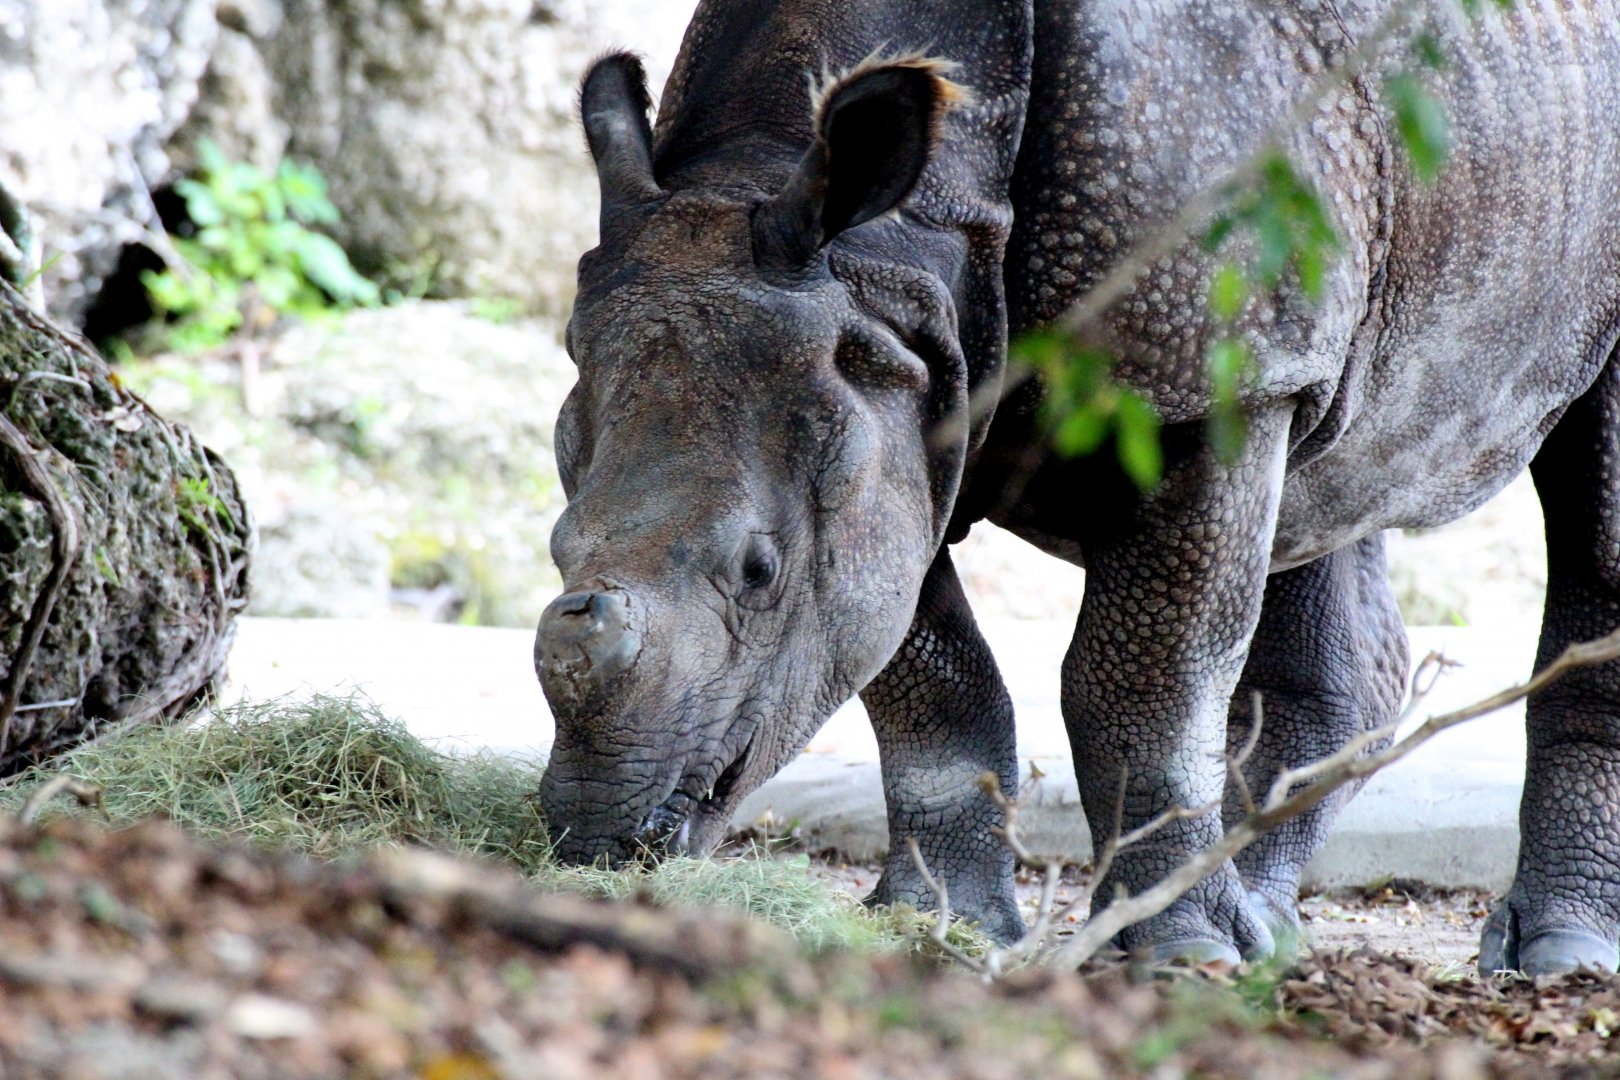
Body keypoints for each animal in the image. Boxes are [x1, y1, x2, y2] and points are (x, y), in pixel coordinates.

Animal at [534, 0, 1620, 975]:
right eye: (556, 545)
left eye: (758, 571)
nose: (597, 843)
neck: (892, 244)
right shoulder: (906, 387)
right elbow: (928, 676)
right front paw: (943, 925)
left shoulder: (1203, 381)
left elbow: (1142, 682)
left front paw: (1179, 956)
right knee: (1329, 483)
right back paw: (1269, 929)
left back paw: (1556, 957)